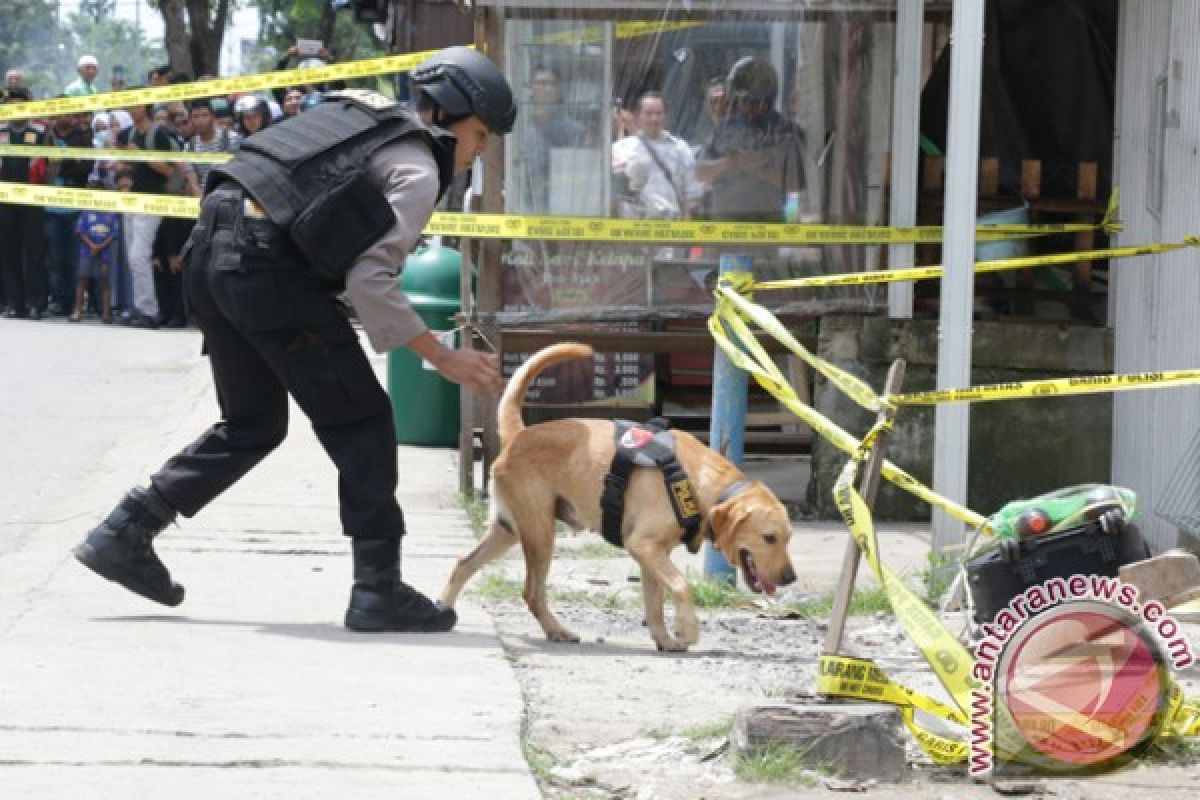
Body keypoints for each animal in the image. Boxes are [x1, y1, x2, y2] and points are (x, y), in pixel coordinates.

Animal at [441, 343, 796, 652]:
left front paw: (664, 639)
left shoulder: (652, 555)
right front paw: (688, 629)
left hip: (509, 530)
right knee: (531, 592)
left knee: (463, 564)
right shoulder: (643, 545)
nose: (790, 578)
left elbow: (655, 604)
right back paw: (556, 630)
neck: (699, 483)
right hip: (540, 535)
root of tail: (520, 434)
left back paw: (443, 608)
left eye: (787, 538)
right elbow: (681, 585)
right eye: (769, 538)